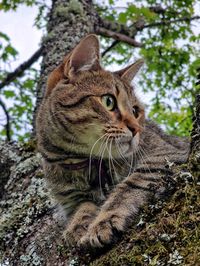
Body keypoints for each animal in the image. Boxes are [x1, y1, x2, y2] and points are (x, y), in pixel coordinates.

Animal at [35, 34, 189, 248]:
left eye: (135, 111)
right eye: (108, 101)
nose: (137, 129)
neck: (85, 162)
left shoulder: (164, 156)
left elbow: (128, 187)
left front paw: (104, 221)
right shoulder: (71, 198)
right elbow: (83, 206)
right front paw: (78, 224)